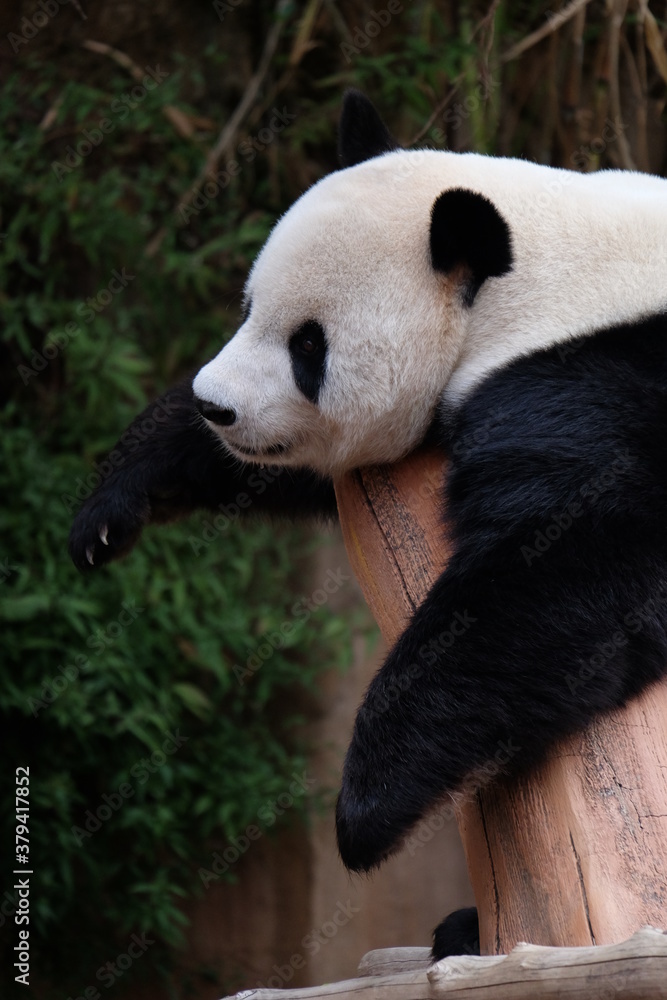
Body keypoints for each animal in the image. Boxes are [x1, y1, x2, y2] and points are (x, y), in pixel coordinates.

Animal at [69, 90, 667, 959]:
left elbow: (564, 579)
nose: (218, 405)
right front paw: (113, 507)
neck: (535, 281)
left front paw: (370, 806)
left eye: (307, 345)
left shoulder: (603, 378)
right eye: (248, 307)